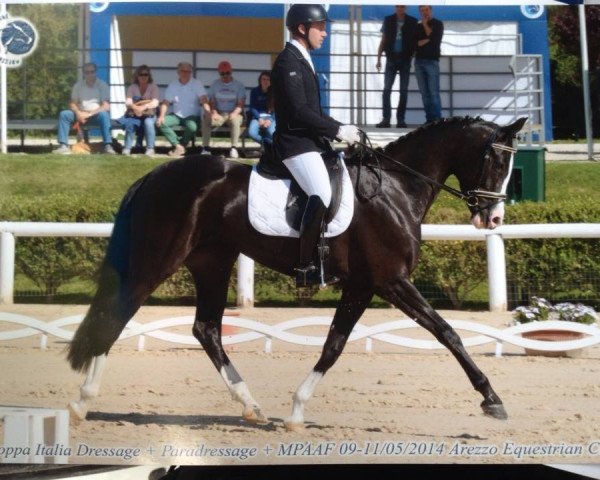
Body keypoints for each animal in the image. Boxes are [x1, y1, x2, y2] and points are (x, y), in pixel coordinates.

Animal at [67, 116, 524, 432]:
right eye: (496, 159)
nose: (494, 219)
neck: (395, 189)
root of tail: (151, 176)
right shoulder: (390, 280)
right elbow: (448, 332)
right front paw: (492, 399)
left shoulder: (362, 286)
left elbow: (334, 346)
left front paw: (296, 410)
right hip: (157, 260)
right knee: (119, 316)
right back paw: (82, 402)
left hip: (212, 261)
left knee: (206, 330)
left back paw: (251, 406)